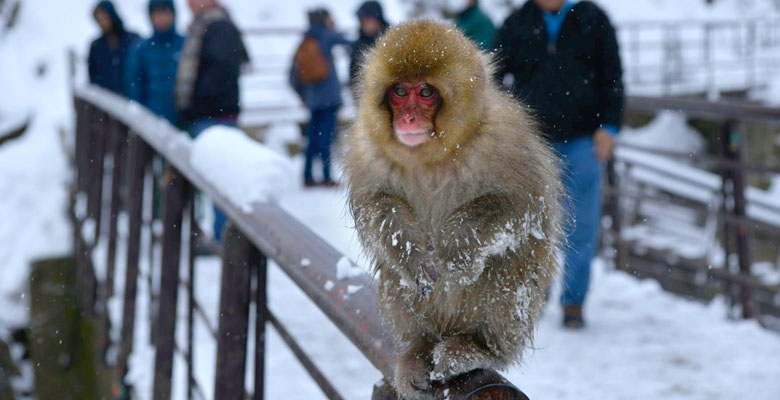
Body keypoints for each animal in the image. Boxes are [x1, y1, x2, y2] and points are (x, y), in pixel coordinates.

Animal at [344, 21, 564, 396]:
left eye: (426, 92)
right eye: (399, 91)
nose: (408, 118)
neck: (431, 156)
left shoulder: (507, 140)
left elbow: (522, 205)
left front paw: (457, 251)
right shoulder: (365, 149)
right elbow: (376, 204)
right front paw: (411, 255)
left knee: (510, 267)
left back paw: (480, 349)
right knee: (396, 279)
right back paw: (418, 348)